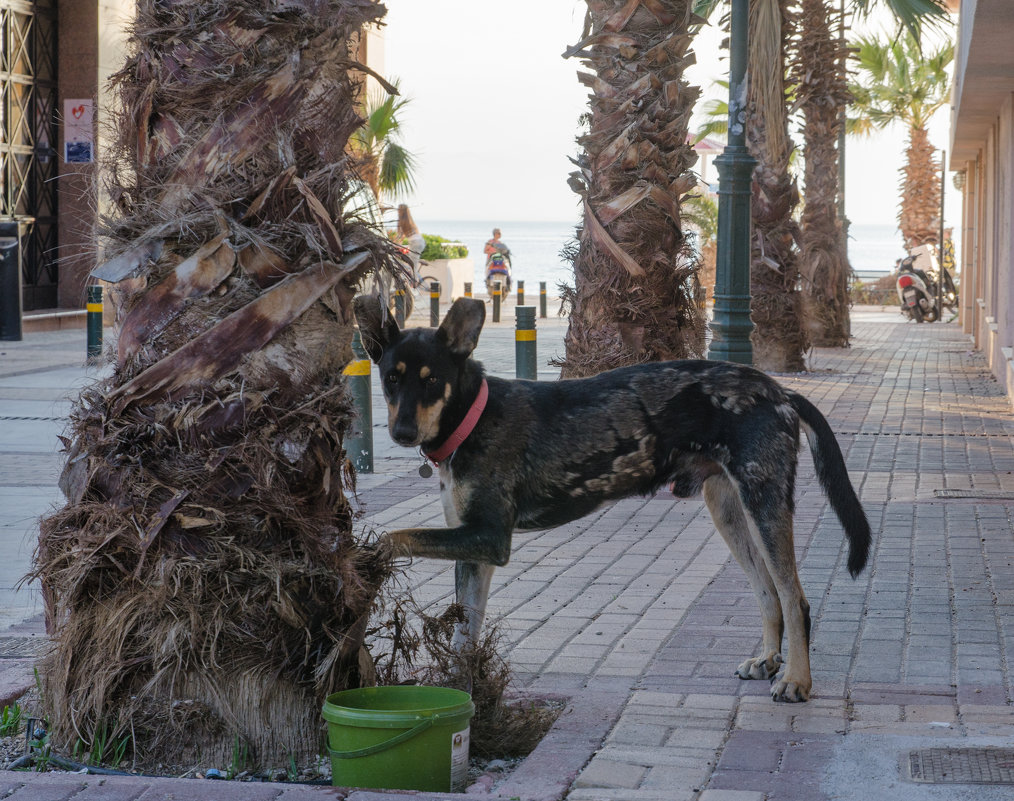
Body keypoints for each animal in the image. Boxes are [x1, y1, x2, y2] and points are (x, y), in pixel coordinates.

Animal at [356, 294, 872, 701]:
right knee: (767, 592)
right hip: (728, 509)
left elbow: (393, 535)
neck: (473, 416)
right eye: (390, 379)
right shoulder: (473, 549)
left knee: (794, 597)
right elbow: (466, 633)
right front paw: (464, 692)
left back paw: (797, 680)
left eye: (431, 380)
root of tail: (779, 391)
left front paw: (368, 557)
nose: (402, 433)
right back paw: (768, 660)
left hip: (764, 503)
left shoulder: (487, 538)